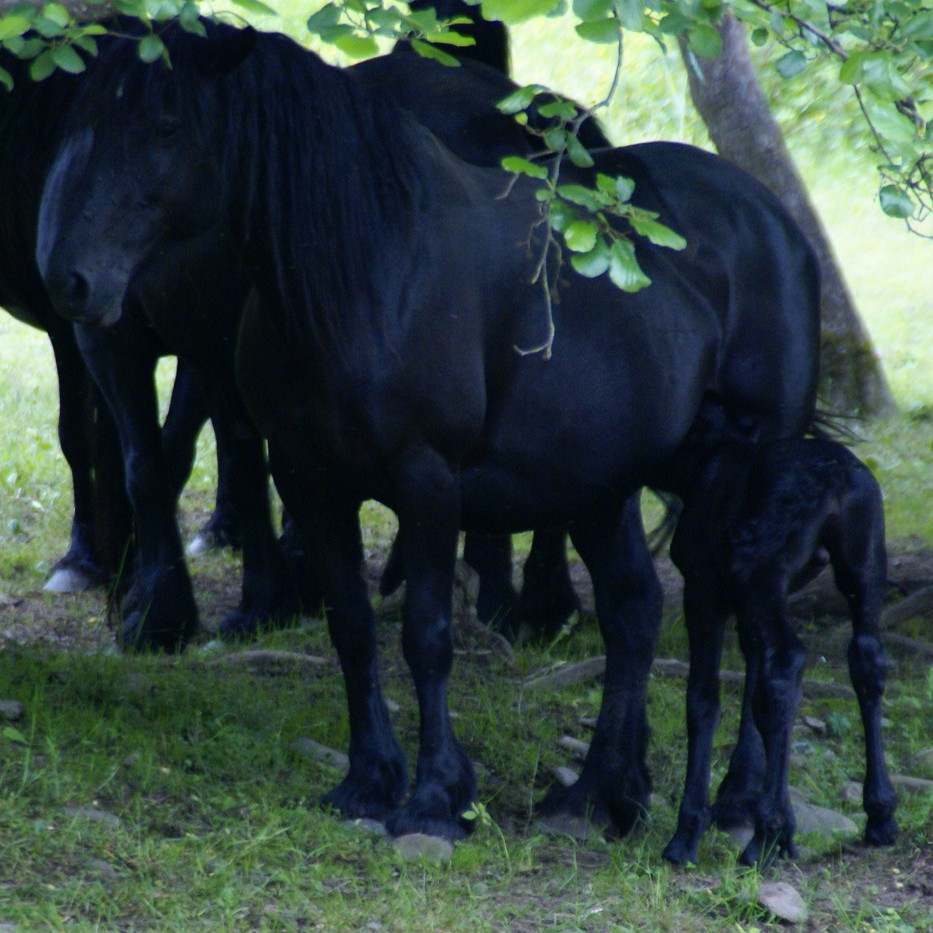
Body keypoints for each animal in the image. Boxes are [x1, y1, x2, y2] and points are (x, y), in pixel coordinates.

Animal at [661, 401, 898, 865]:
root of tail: (838, 481)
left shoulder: (704, 587)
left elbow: (704, 697)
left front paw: (688, 832)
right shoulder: (750, 605)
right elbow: (757, 699)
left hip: (760, 569)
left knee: (790, 660)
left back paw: (766, 834)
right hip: (864, 561)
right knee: (867, 660)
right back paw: (880, 813)